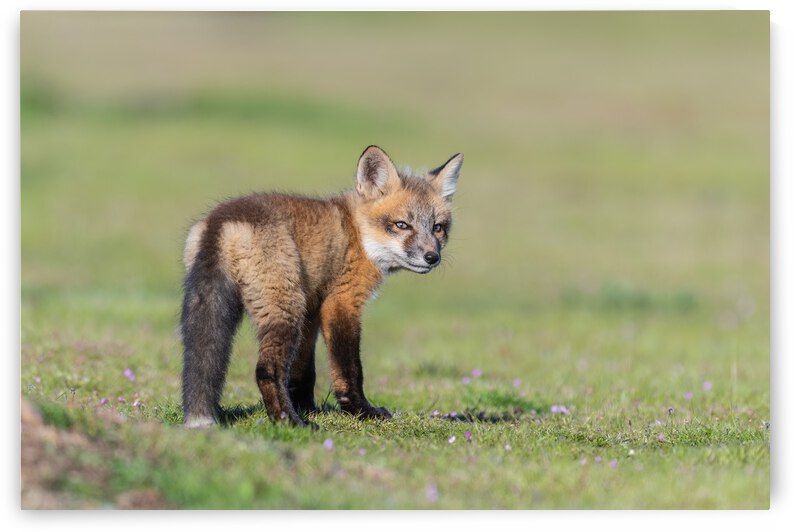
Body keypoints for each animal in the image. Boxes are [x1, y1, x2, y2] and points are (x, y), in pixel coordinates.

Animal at [180, 145, 463, 428]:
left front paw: (308, 408)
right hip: (285, 311)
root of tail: (222, 220)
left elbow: (303, 371)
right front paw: (361, 411)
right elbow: (349, 368)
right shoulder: (341, 302)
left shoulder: (312, 309)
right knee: (266, 370)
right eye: (402, 225)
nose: (432, 257)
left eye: (438, 228)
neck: (358, 236)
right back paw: (289, 422)